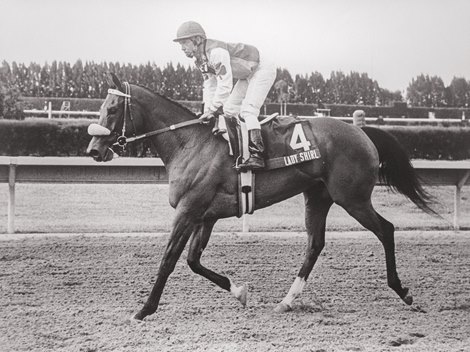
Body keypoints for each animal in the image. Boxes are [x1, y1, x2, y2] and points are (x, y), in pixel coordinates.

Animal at [86, 74, 436, 322]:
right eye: (101, 108)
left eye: (112, 109)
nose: (93, 150)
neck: (191, 143)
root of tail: (361, 132)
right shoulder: (205, 215)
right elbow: (193, 261)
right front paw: (240, 292)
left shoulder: (188, 209)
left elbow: (169, 259)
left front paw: (144, 309)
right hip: (318, 196)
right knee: (315, 244)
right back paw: (286, 302)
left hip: (352, 198)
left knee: (385, 230)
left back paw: (403, 292)